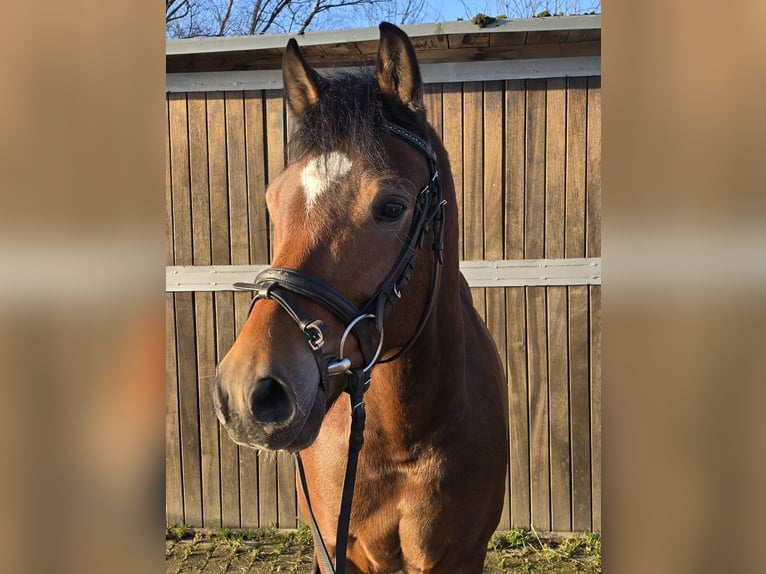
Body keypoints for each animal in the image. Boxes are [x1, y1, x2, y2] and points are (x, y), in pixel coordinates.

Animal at [213, 22, 510, 574]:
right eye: (272, 200)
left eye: (392, 207)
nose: (247, 392)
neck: (401, 442)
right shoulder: (335, 549)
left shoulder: (461, 555)